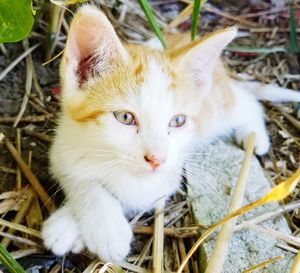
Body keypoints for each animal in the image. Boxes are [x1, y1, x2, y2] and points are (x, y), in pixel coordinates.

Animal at [41, 4, 300, 262]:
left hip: (218, 109)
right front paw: (74, 224)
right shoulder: (61, 150)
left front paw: (103, 230)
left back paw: (253, 134)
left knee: (247, 102)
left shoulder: (166, 176)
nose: (157, 159)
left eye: (178, 121)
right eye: (125, 117)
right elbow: (79, 178)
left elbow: (134, 194)